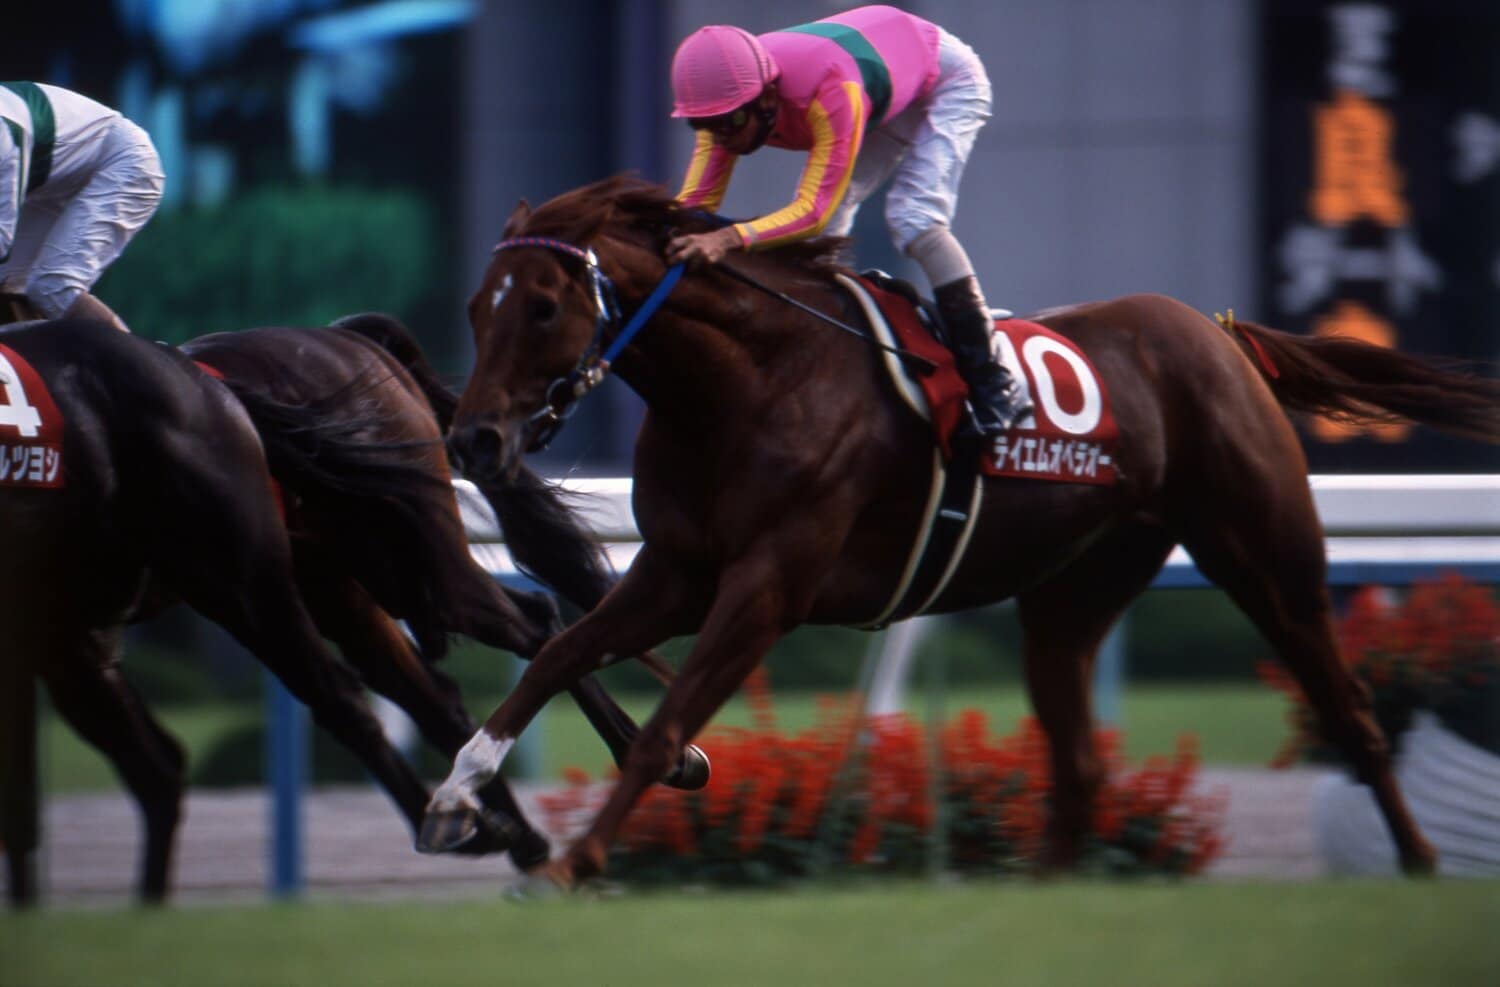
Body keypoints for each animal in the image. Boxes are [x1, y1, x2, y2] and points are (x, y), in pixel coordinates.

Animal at [0, 311, 704, 904]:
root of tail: (344, 336)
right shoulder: (56, 638)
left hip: (309, 570)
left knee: (514, 631)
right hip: (332, 580)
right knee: (423, 694)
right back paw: (496, 824)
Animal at [421, 175, 1500, 886]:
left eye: (545, 306)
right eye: (476, 307)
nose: (472, 438)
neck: (747, 383)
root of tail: (1221, 336)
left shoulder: (768, 585)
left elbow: (666, 725)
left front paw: (579, 859)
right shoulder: (679, 572)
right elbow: (556, 655)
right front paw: (456, 795)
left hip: (1266, 552)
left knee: (1351, 711)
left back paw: (1418, 860)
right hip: (1074, 591)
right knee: (1078, 756)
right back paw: (1047, 886)